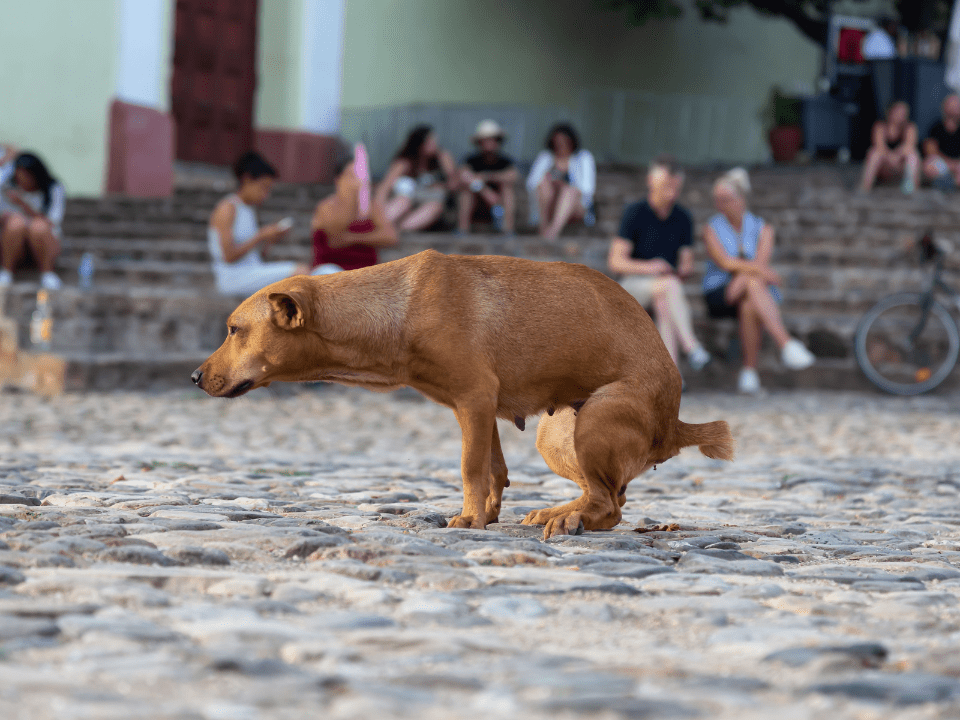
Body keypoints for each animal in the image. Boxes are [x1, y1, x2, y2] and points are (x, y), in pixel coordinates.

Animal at [195, 250, 736, 536]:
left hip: (596, 419)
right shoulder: (481, 410)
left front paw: (471, 518)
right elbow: (494, 469)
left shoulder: (474, 401)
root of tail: (674, 426)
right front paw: (489, 515)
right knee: (605, 496)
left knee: (611, 506)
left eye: (234, 330)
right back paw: (560, 511)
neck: (398, 308)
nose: (195, 377)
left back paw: (569, 521)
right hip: (557, 433)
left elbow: (470, 468)